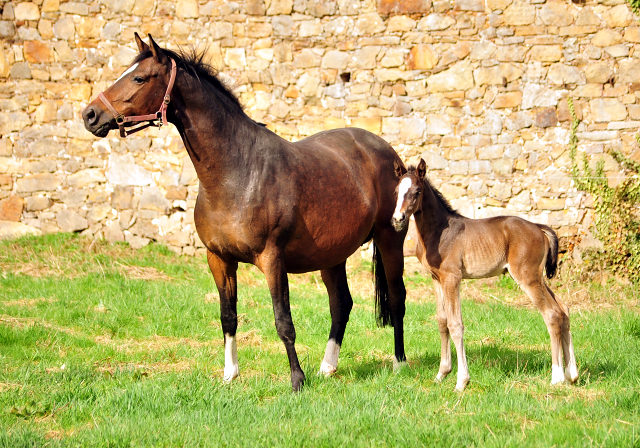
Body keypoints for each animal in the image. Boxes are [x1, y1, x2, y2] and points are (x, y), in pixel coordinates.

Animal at [82, 34, 408, 392]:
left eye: (139, 78)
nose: (90, 115)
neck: (237, 173)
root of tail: (387, 153)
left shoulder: (272, 259)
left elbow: (283, 321)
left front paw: (297, 380)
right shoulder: (219, 259)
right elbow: (228, 317)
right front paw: (230, 374)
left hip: (390, 240)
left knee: (396, 297)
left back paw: (399, 363)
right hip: (332, 255)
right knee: (341, 304)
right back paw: (328, 366)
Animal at [392, 159, 576, 390]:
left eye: (416, 192)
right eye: (396, 191)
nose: (398, 219)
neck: (439, 231)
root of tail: (539, 227)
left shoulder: (452, 278)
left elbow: (455, 324)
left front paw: (461, 381)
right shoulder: (436, 278)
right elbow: (442, 322)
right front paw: (441, 374)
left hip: (527, 277)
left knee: (552, 314)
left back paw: (557, 377)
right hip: (537, 278)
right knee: (563, 309)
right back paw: (572, 374)